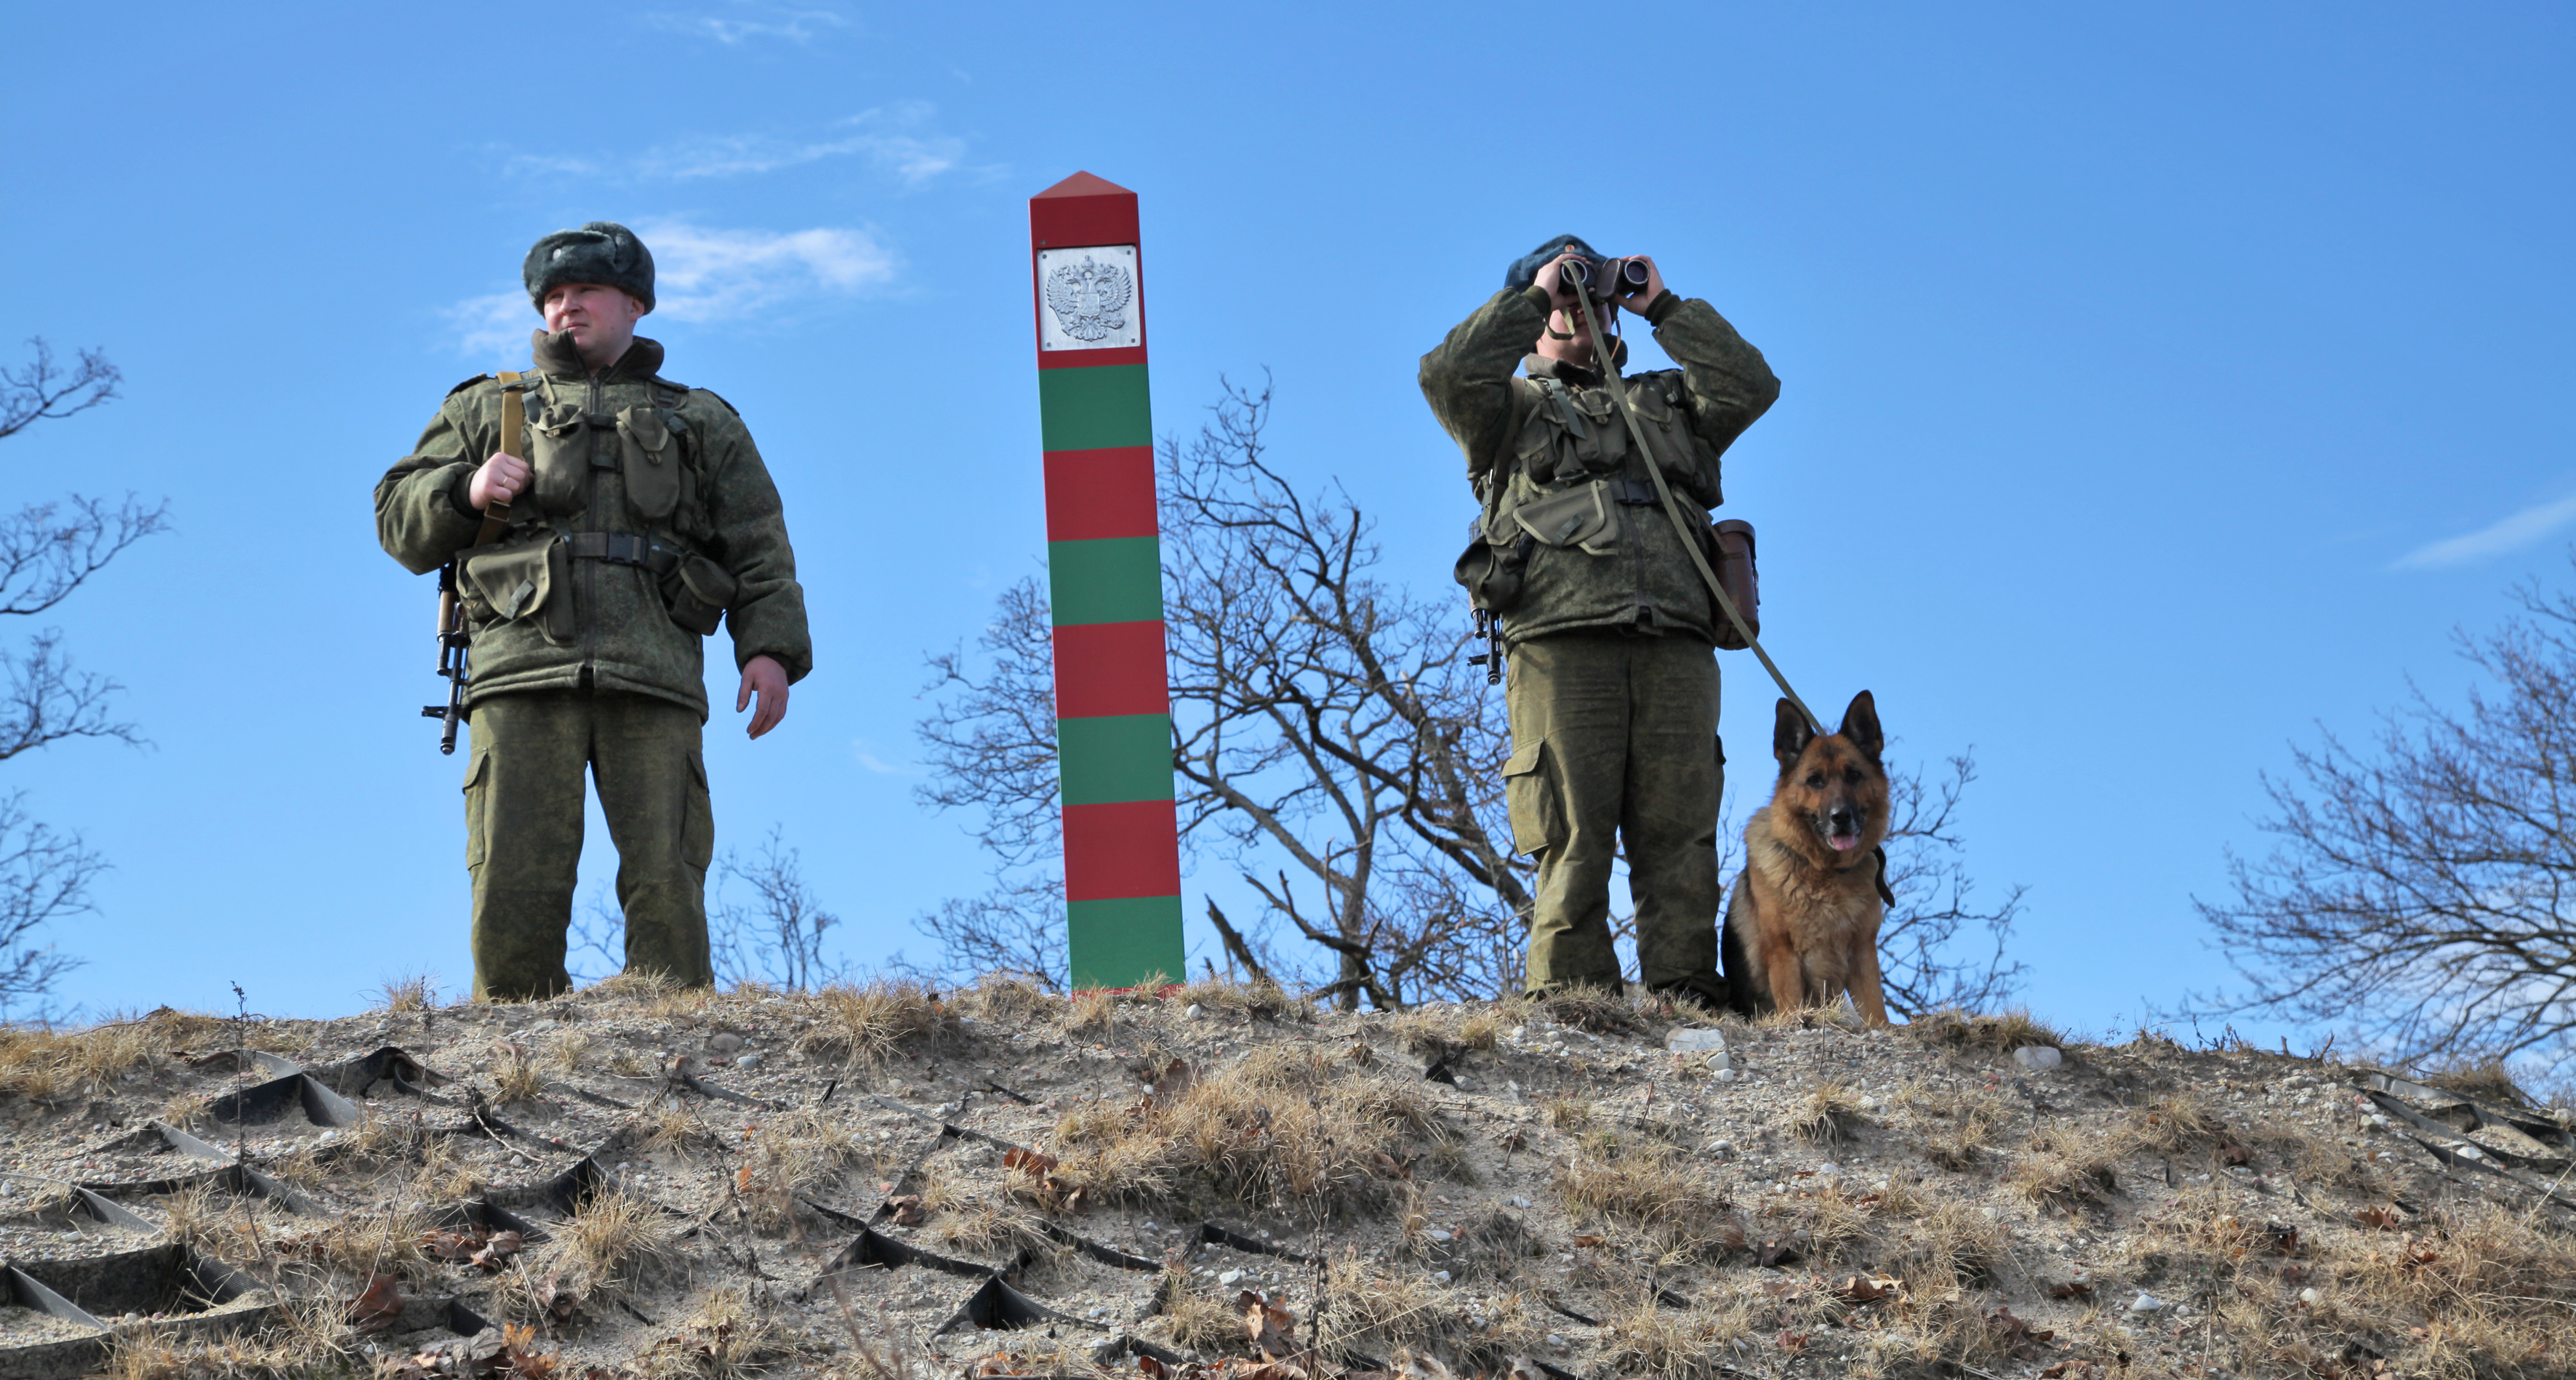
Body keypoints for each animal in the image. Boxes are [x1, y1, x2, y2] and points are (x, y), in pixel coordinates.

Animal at [1720, 690, 1906, 1024]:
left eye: (1854, 775)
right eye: (1814, 780)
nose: (1841, 817)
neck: (1825, 871)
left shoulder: (1863, 954)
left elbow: (1877, 1013)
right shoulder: (1784, 956)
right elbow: (1791, 1008)